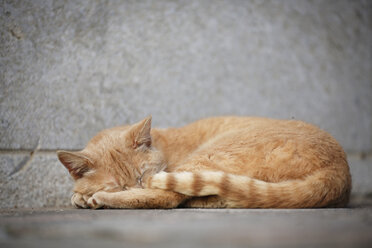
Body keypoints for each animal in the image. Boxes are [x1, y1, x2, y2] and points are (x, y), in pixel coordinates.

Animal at [57, 116, 352, 209]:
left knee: (168, 198)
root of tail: (340, 167)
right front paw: (80, 196)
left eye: (141, 176)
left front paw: (91, 197)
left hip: (206, 155)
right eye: (118, 184)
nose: (134, 187)